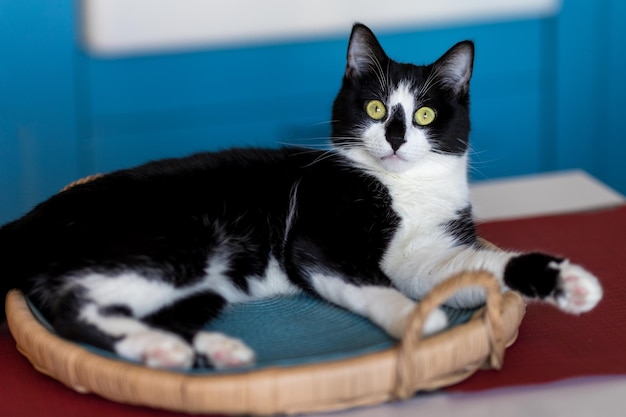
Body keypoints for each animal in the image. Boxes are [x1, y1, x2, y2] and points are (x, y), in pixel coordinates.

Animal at [2, 23, 604, 368]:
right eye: (376, 108)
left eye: (426, 115)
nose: (395, 137)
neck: (403, 189)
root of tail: (29, 221)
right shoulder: (317, 238)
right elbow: (370, 281)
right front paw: (415, 319)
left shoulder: (430, 254)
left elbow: (475, 268)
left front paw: (568, 282)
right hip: (174, 242)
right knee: (70, 304)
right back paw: (160, 347)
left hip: (199, 283)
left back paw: (208, 349)